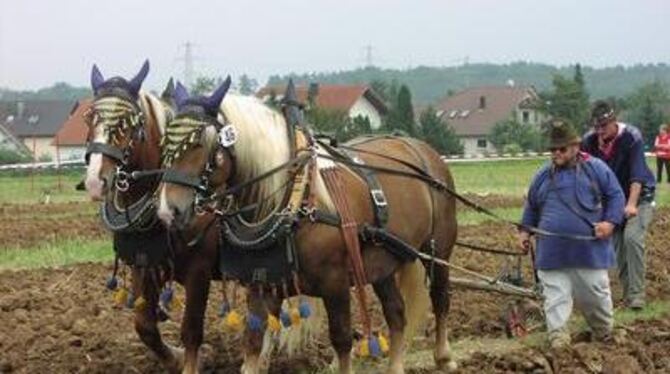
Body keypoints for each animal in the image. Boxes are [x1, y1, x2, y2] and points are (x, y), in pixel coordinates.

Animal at [83, 61, 222, 374]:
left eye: (127, 122)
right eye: (89, 118)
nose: (95, 181)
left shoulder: (200, 269)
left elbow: (191, 330)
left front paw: (196, 358)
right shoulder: (144, 265)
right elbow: (144, 326)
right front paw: (175, 358)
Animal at [158, 82, 462, 374]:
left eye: (199, 143)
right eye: (165, 143)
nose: (167, 209)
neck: (295, 197)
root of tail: (421, 148)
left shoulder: (335, 282)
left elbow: (341, 340)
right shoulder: (261, 283)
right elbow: (254, 342)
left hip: (438, 252)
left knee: (440, 299)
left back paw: (444, 357)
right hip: (382, 263)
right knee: (396, 312)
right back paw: (396, 366)